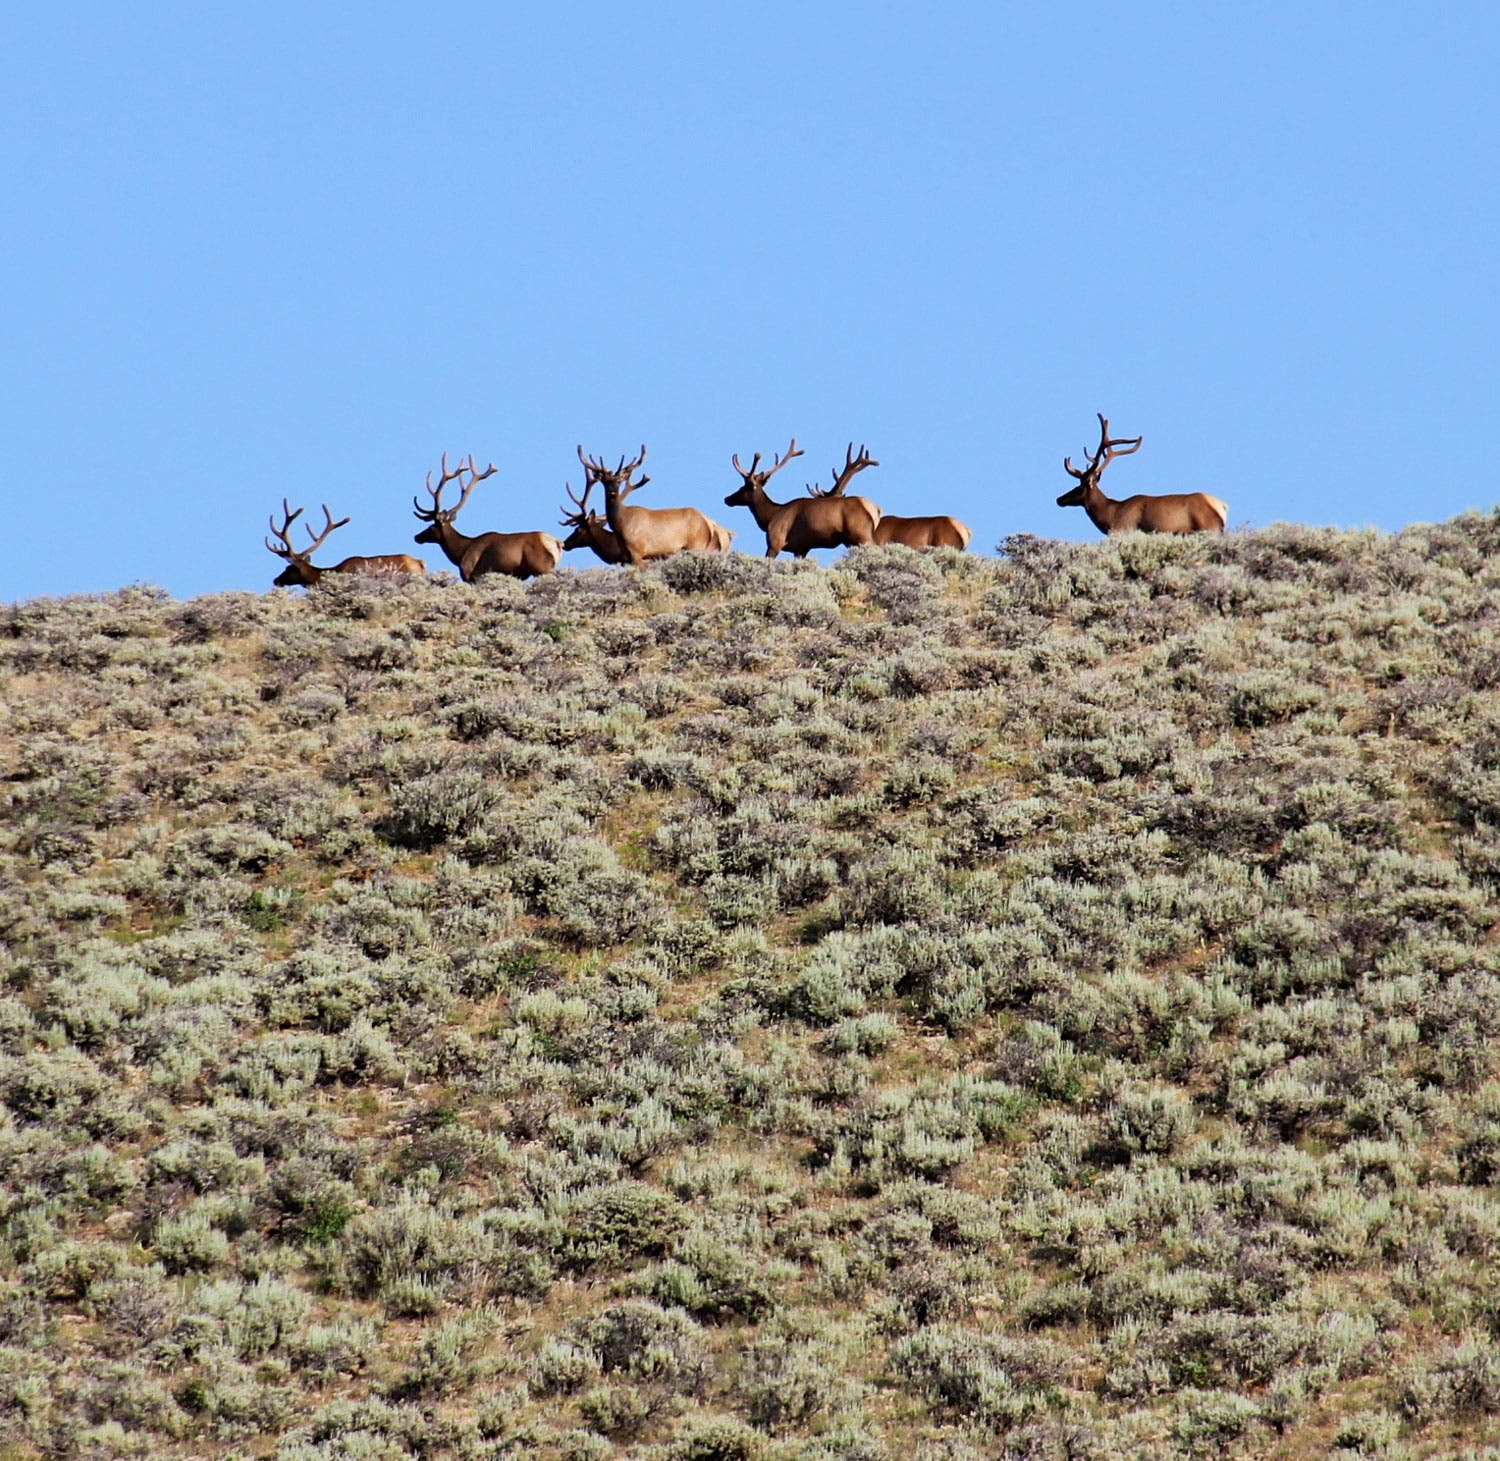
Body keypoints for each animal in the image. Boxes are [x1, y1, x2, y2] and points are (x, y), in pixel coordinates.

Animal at [412, 452, 563, 581]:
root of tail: (557, 543)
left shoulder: (471, 574)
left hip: (541, 567)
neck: (461, 552)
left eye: (431, 526)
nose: (417, 537)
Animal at [571, 444, 733, 567]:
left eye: (619, 481)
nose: (612, 492)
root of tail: (709, 523)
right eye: (605, 482)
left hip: (697, 545)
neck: (620, 526)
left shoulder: (638, 552)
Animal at [724, 440, 881, 558]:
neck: (769, 516)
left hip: (861, 534)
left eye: (743, 487)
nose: (727, 499)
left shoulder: (775, 541)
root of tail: (875, 509)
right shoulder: (801, 548)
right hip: (851, 540)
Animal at [1057, 414, 1228, 534]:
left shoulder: (1125, 529)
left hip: (1209, 527)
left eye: (1079, 487)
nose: (1059, 499)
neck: (1111, 515)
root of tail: (1223, 506)